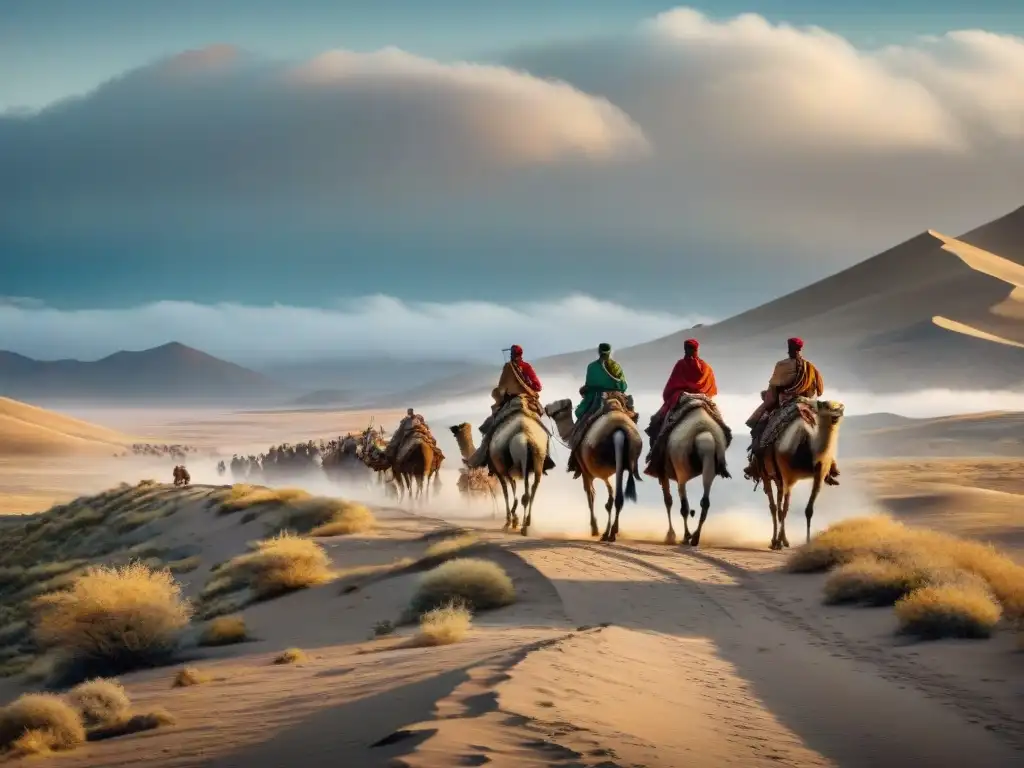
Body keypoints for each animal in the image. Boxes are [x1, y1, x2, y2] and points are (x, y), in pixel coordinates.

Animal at [544, 399, 638, 544]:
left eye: (558, 404)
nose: (546, 408)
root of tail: (620, 432)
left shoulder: (586, 471)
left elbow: (590, 495)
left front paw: (594, 528)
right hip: (623, 462)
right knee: (617, 498)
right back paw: (612, 533)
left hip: (602, 465)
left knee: (610, 497)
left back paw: (606, 533)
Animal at [647, 403, 729, 548]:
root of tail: (704, 432)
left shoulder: (662, 472)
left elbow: (668, 501)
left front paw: (670, 535)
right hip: (710, 463)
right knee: (705, 501)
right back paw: (695, 537)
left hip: (681, 466)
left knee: (683, 505)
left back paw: (686, 536)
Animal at [757, 397, 843, 552]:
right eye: (825, 405)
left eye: (840, 407)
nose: (836, 415)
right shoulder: (787, 475)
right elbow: (784, 510)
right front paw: (779, 542)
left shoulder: (819, 475)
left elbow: (808, 509)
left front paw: (807, 542)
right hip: (767, 474)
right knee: (774, 507)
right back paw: (774, 541)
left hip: (779, 479)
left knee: (779, 504)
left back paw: (781, 540)